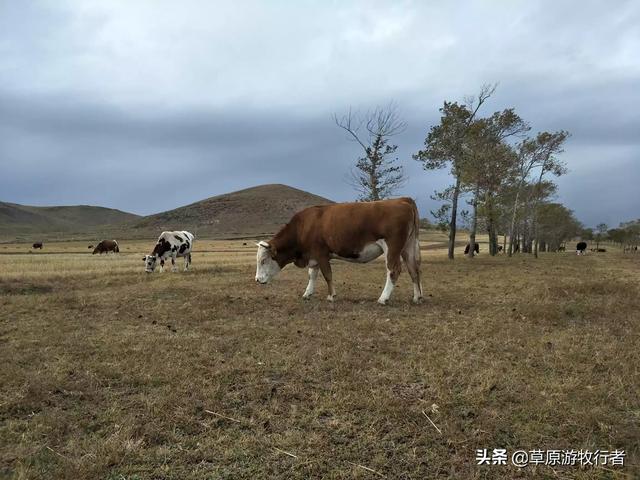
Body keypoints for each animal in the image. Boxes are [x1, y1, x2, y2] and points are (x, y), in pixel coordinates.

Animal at [255, 198, 424, 304]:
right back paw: (417, 298)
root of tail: (402, 199)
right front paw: (307, 294)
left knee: (393, 270)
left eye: (263, 261)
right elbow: (312, 275)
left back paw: (383, 299)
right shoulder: (313, 256)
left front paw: (331, 296)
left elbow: (327, 275)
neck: (303, 226)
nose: (257, 280)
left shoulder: (322, 254)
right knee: (414, 270)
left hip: (392, 248)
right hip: (408, 248)